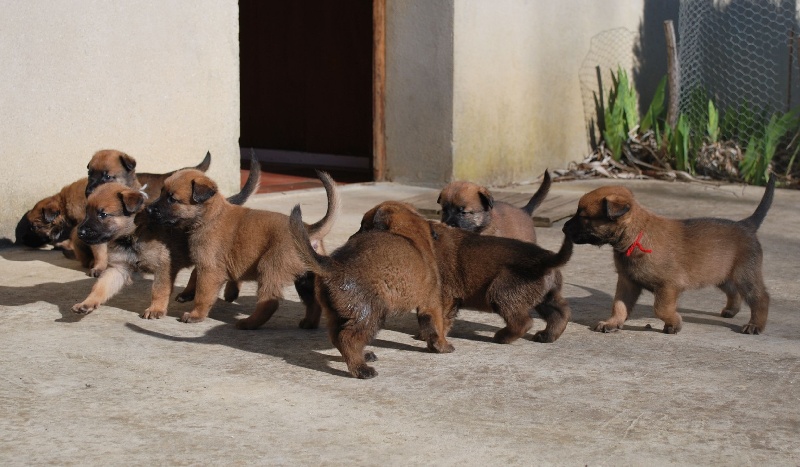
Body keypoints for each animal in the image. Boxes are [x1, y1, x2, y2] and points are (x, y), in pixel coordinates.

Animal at [70, 161, 260, 318]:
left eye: (103, 214)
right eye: (87, 213)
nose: (80, 232)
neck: (133, 236)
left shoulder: (163, 268)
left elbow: (159, 290)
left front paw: (156, 309)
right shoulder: (118, 269)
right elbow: (99, 287)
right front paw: (87, 303)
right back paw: (189, 293)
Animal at [145, 170, 340, 328]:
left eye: (172, 199)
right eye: (161, 193)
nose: (148, 209)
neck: (211, 216)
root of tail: (309, 230)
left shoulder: (209, 268)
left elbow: (203, 294)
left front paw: (196, 315)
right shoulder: (206, 262)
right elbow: (194, 275)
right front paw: (187, 293)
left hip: (269, 268)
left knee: (270, 303)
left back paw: (248, 323)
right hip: (305, 279)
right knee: (313, 303)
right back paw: (309, 323)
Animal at [290, 205, 454, 380]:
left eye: (364, 226)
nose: (350, 237)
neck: (410, 234)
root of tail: (334, 266)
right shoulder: (431, 303)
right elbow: (437, 326)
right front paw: (443, 345)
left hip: (337, 314)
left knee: (336, 338)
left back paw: (361, 358)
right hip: (372, 314)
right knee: (347, 339)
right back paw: (361, 369)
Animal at [358, 203, 576, 346]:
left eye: (364, 227)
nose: (352, 238)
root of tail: (545, 258)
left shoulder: (443, 296)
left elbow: (436, 318)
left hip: (501, 292)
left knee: (523, 322)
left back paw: (502, 337)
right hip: (545, 297)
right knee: (560, 313)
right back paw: (547, 336)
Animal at [564, 174, 776, 334]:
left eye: (583, 217)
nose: (564, 228)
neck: (636, 234)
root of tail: (746, 225)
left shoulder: (668, 286)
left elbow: (660, 308)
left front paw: (674, 323)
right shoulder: (627, 282)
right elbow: (619, 305)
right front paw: (613, 322)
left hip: (744, 275)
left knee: (760, 297)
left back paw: (755, 325)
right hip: (720, 273)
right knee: (733, 290)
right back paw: (731, 310)